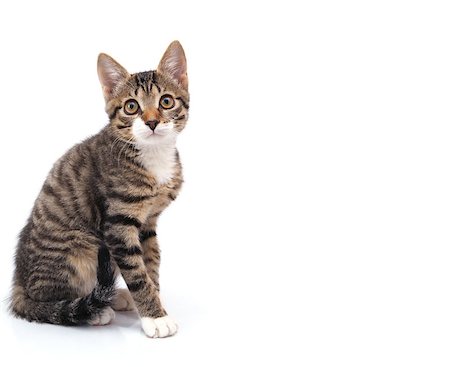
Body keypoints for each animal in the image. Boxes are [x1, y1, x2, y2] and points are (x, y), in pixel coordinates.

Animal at [8, 41, 188, 340]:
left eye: (166, 101)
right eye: (131, 106)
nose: (151, 122)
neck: (151, 155)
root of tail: (18, 285)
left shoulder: (148, 222)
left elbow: (150, 263)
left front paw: (155, 305)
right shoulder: (118, 223)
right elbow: (137, 273)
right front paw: (155, 317)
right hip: (80, 246)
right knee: (47, 299)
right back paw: (93, 311)